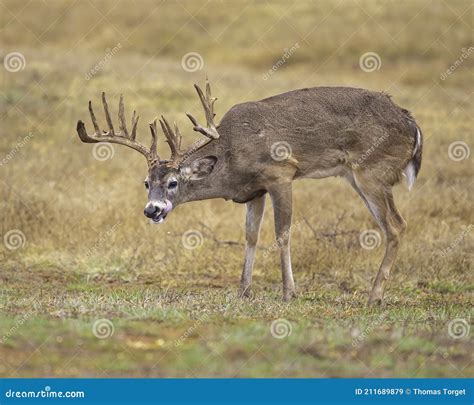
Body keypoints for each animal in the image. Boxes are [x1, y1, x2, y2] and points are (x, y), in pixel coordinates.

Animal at [76, 79, 424, 304]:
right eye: (147, 183)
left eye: (174, 182)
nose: (152, 210)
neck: (232, 157)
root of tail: (411, 122)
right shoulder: (254, 191)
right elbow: (251, 235)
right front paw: (243, 291)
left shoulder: (281, 174)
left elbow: (282, 234)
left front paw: (289, 293)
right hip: (357, 175)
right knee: (394, 226)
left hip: (372, 171)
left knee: (397, 225)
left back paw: (374, 297)